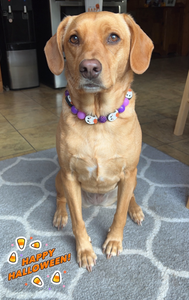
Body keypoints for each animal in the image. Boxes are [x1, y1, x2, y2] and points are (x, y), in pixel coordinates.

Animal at [44, 11, 154, 272]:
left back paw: (136, 210)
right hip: (59, 178)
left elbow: (119, 215)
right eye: (74, 38)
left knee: (130, 197)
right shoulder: (69, 176)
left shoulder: (128, 173)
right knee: (61, 199)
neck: (97, 120)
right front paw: (84, 250)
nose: (89, 68)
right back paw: (60, 215)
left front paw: (113, 241)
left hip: (131, 179)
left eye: (113, 37)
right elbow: (78, 221)